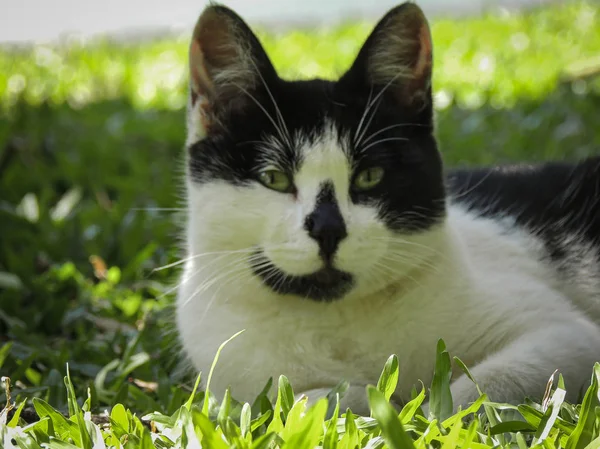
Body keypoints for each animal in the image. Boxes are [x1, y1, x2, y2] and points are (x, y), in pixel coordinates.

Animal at [176, 0, 600, 414]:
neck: (336, 320)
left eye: (369, 176)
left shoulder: (565, 334)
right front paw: (369, 403)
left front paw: (427, 417)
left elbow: (474, 394)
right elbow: (295, 403)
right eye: (274, 178)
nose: (328, 229)